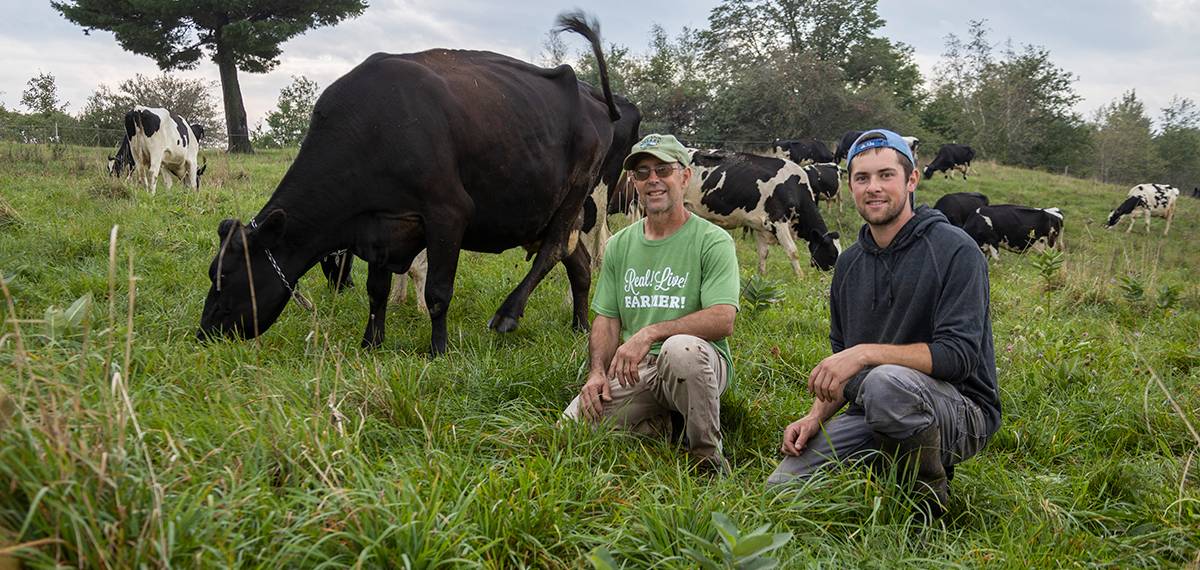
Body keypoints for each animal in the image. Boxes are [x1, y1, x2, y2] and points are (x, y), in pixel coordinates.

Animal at [195, 12, 624, 357]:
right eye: (212, 271)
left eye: (227, 275)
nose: (204, 332)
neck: (372, 128)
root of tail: (592, 95)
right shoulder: (379, 225)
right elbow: (376, 290)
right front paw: (371, 343)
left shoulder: (448, 213)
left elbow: (437, 292)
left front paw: (438, 350)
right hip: (550, 211)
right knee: (578, 264)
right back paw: (579, 325)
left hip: (577, 193)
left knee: (552, 251)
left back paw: (507, 314)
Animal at [681, 148, 840, 277]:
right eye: (832, 254)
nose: (830, 277)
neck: (793, 187)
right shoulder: (778, 220)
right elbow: (793, 251)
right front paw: (800, 277)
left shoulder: (758, 224)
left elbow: (763, 253)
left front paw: (762, 275)